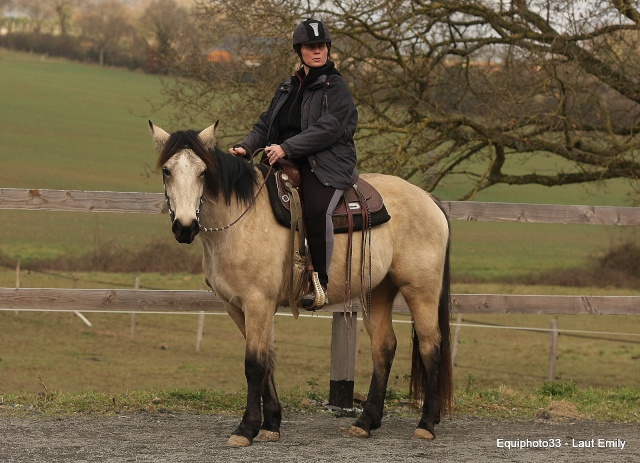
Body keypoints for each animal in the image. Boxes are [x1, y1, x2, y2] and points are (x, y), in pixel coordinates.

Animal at [149, 121, 452, 448]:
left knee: (431, 346)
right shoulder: (236, 307)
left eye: (203, 171)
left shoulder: (258, 303)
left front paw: (246, 428)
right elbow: (267, 360)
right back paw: (366, 421)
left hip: (420, 290)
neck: (240, 221)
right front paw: (271, 424)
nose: (185, 226)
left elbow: (254, 365)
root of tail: (429, 199)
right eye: (167, 170)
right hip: (378, 291)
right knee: (384, 347)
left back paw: (426, 423)